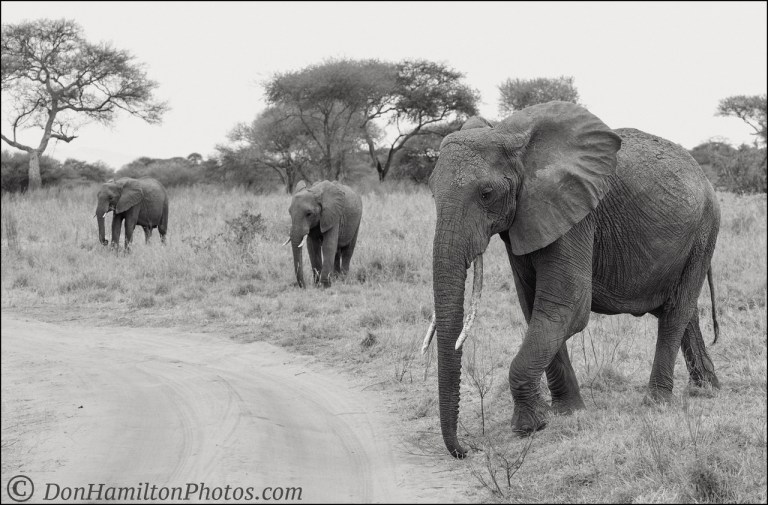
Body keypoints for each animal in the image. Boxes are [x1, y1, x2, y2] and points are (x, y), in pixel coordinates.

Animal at [422, 101, 721, 459]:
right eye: (432, 192)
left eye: (486, 194)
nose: (466, 450)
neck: (510, 137)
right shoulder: (527, 218)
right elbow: (534, 307)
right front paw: (568, 411)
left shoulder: (574, 215)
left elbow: (568, 306)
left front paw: (529, 427)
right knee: (684, 312)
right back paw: (707, 389)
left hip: (704, 230)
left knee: (676, 313)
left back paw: (656, 402)